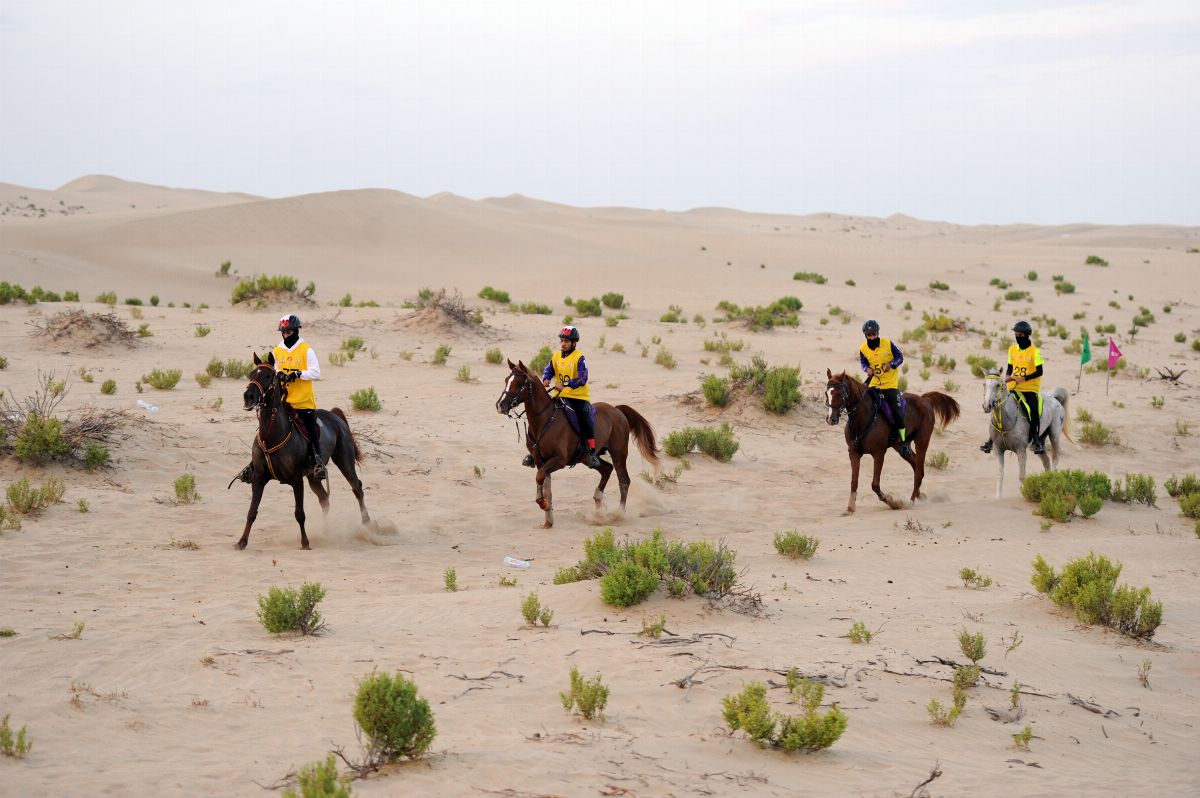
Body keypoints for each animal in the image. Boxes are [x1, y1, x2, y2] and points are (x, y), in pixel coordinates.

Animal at [231, 355, 367, 547]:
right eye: (251, 374)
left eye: (267, 376)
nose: (248, 397)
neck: (273, 435)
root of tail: (336, 417)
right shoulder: (258, 478)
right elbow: (252, 512)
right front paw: (242, 542)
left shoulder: (296, 480)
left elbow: (299, 514)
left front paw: (305, 542)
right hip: (313, 477)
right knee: (324, 499)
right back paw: (326, 532)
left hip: (344, 462)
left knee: (357, 488)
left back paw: (368, 525)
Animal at [499, 357, 662, 525]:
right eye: (506, 380)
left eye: (519, 383)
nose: (501, 405)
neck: (544, 420)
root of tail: (617, 410)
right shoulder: (539, 460)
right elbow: (542, 479)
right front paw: (545, 509)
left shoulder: (559, 460)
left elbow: (540, 476)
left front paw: (543, 503)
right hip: (588, 457)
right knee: (607, 469)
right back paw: (599, 505)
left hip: (619, 453)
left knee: (624, 480)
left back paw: (619, 513)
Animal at [820, 369, 960, 513]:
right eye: (826, 393)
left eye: (840, 393)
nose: (831, 419)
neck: (863, 419)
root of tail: (924, 400)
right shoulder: (854, 453)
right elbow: (854, 482)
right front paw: (850, 508)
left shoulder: (879, 454)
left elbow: (875, 485)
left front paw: (891, 501)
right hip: (900, 446)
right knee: (916, 465)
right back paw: (919, 495)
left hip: (922, 441)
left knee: (918, 472)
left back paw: (910, 501)